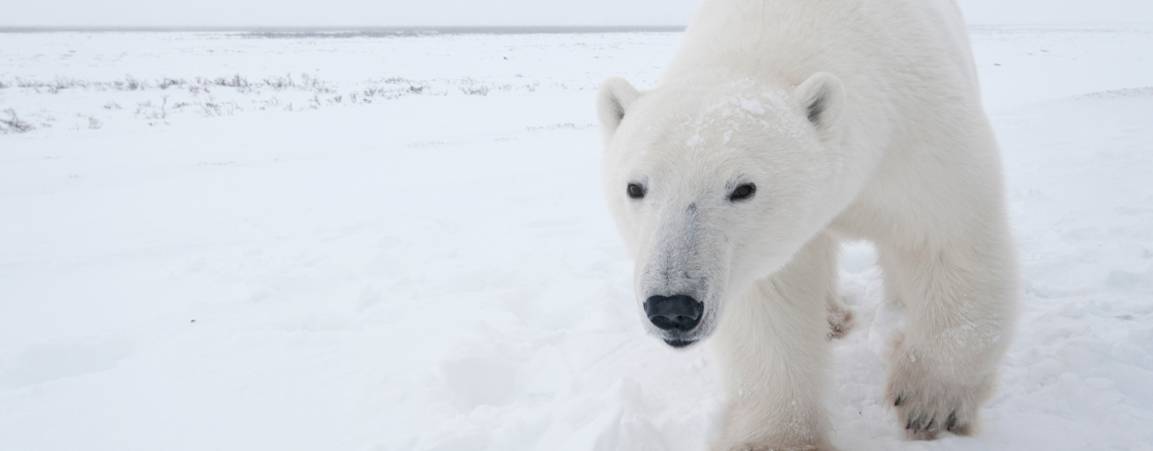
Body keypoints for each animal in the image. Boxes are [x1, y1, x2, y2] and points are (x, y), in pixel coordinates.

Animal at [595, 0, 1018, 449]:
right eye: (635, 187)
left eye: (743, 188)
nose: (672, 307)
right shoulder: (755, 253)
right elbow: (771, 303)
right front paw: (777, 437)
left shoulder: (916, 135)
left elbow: (946, 238)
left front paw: (929, 402)